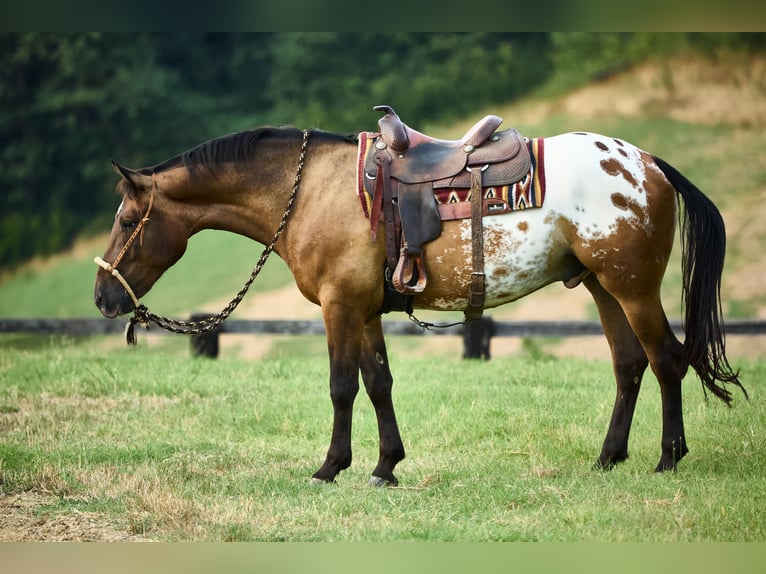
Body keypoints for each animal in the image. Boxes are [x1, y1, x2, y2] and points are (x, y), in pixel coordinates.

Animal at [96, 107, 752, 486]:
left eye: (127, 219)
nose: (104, 296)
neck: (309, 190)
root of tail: (647, 163)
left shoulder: (339, 307)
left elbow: (341, 386)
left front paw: (331, 467)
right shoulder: (364, 311)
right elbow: (378, 382)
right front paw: (386, 466)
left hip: (633, 288)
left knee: (667, 361)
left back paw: (669, 457)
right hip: (602, 288)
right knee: (629, 364)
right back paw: (609, 457)